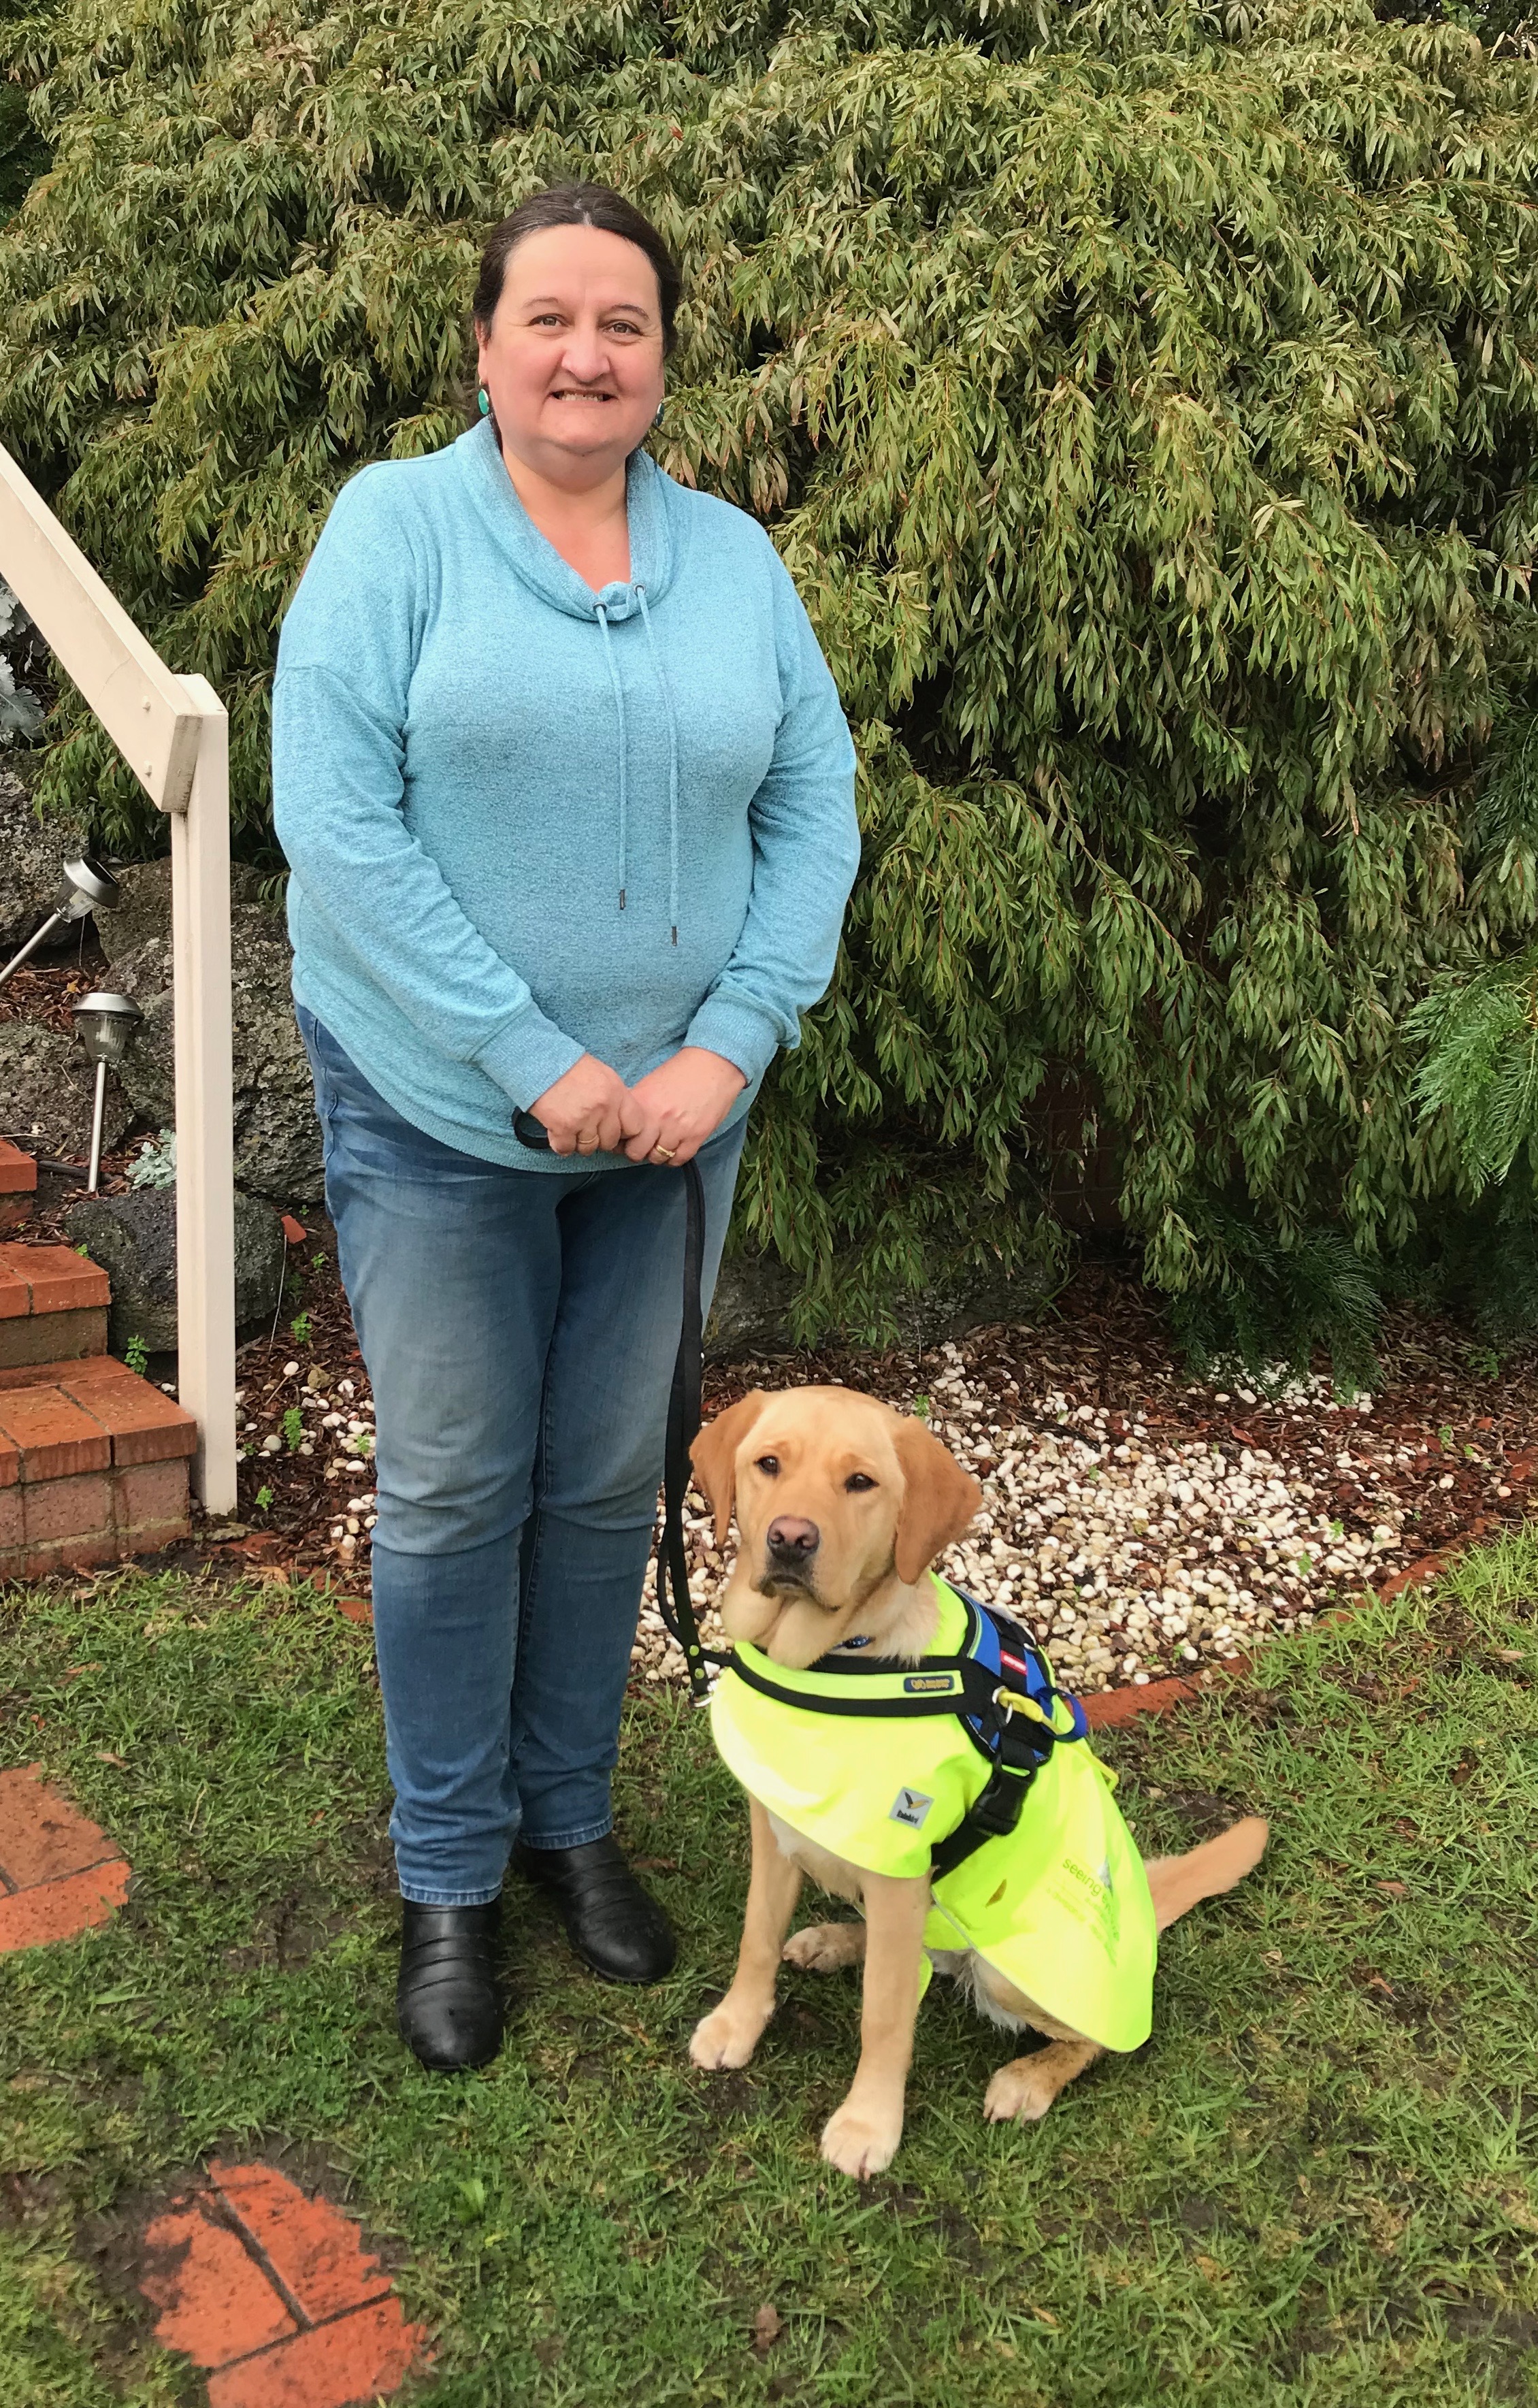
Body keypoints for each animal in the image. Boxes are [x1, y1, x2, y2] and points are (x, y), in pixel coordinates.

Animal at [693, 1377, 1271, 2186]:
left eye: (860, 1482)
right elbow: (755, 1937)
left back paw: (1029, 2080)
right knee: (922, 1956)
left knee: (1094, 2037)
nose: (791, 1539)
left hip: (1009, 1970)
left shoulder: (899, 1870)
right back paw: (837, 1941)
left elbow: (884, 2016)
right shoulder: (776, 1832)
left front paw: (868, 2124)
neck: (833, 1658)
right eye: (768, 1464)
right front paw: (737, 2024)